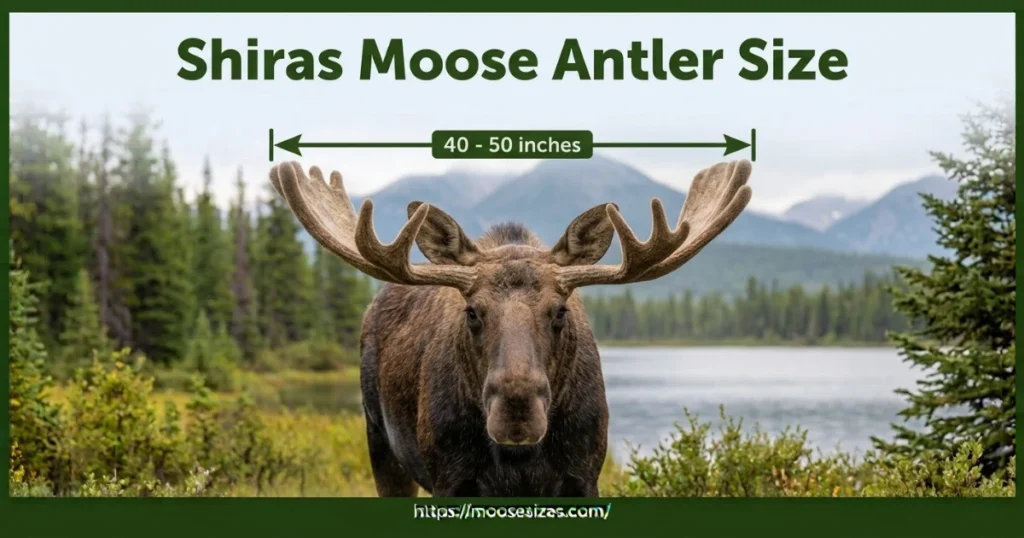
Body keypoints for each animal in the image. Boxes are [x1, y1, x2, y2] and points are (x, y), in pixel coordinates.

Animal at [269, 159, 752, 497]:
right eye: (472, 312)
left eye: (560, 311)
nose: (516, 406)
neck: (520, 462)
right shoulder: (450, 479)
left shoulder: (583, 476)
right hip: (379, 442)